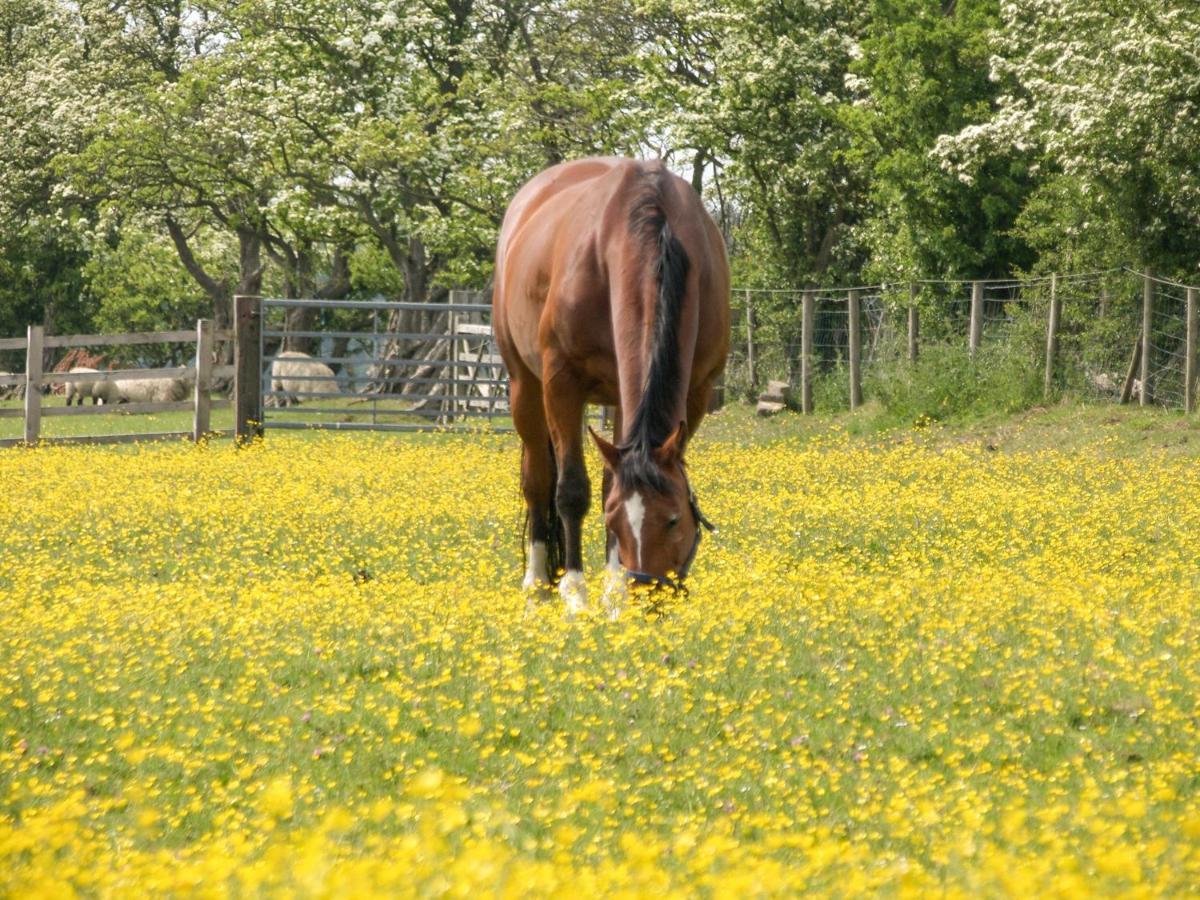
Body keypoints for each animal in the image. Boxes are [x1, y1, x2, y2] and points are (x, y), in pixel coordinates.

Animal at [489, 158, 729, 619]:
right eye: (614, 521)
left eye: (674, 519)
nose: (649, 597)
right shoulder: (561, 384)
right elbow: (571, 492)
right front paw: (576, 596)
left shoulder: (696, 391)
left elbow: (608, 486)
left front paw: (613, 596)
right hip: (524, 389)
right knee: (538, 481)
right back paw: (537, 588)